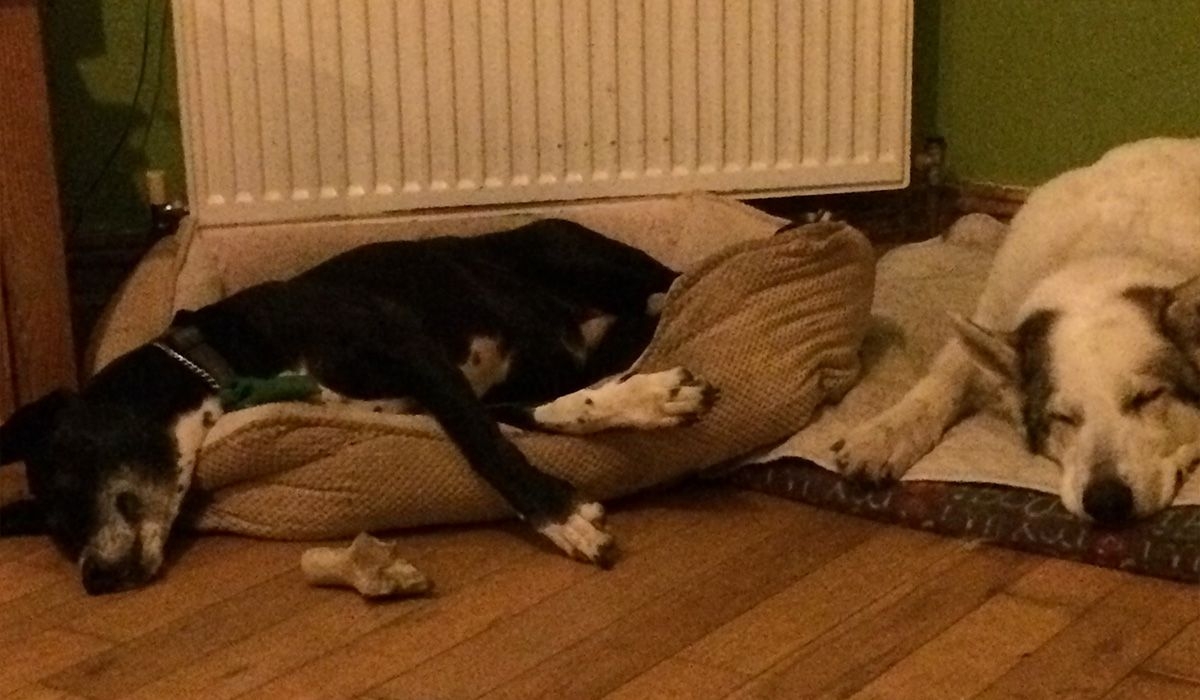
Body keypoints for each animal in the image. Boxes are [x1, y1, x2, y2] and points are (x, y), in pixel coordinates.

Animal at [0, 222, 710, 595]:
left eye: (65, 483)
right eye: (54, 531)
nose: (94, 579)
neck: (230, 363)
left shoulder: (407, 346)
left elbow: (482, 443)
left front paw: (563, 520)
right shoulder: (468, 391)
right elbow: (537, 415)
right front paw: (644, 400)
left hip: (570, 250)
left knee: (671, 280)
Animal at [830, 136, 1200, 523]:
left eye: (1148, 398)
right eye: (1061, 417)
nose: (1106, 501)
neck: (1107, 253)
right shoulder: (994, 316)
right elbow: (940, 383)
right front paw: (883, 435)